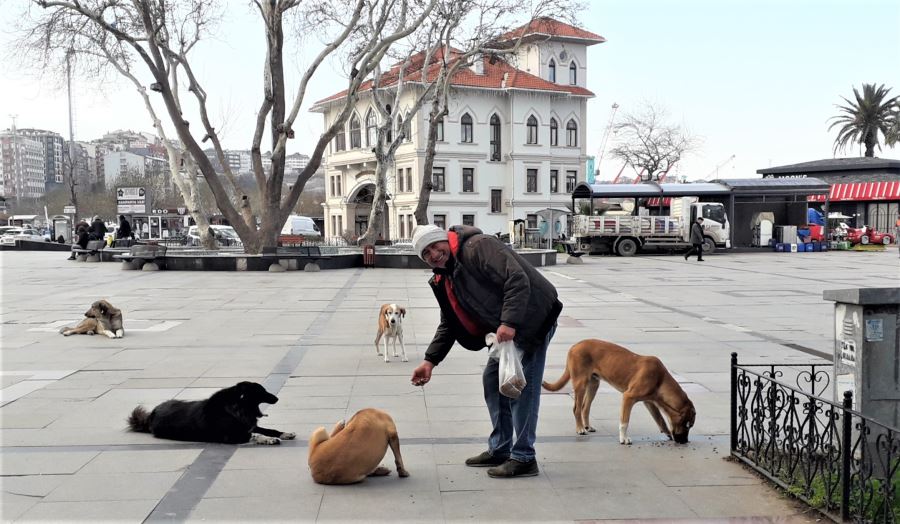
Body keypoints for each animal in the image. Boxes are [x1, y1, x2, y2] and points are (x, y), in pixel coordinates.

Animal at [127, 378, 296, 444]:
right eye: (262, 391)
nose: (277, 398)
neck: (235, 408)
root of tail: (151, 415)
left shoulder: (248, 424)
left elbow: (268, 429)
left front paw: (283, 433)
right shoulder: (232, 436)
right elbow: (255, 435)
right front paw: (268, 440)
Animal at [540, 338, 696, 444]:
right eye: (687, 424)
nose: (684, 442)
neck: (660, 379)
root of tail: (574, 346)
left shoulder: (649, 402)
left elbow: (660, 419)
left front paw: (668, 433)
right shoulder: (628, 397)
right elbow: (624, 421)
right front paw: (624, 438)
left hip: (593, 384)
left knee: (585, 408)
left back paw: (587, 426)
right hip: (581, 384)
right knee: (577, 408)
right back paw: (580, 428)